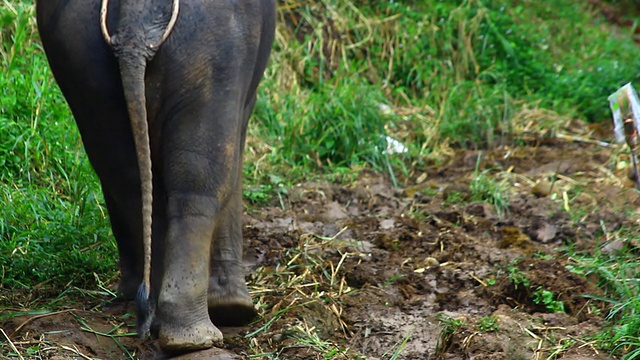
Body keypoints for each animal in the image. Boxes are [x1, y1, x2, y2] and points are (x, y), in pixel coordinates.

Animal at [35, 0, 276, 352]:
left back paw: (152, 316)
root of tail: (134, 25)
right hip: (213, 48)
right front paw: (235, 309)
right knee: (198, 183)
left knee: (125, 179)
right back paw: (193, 338)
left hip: (79, 55)